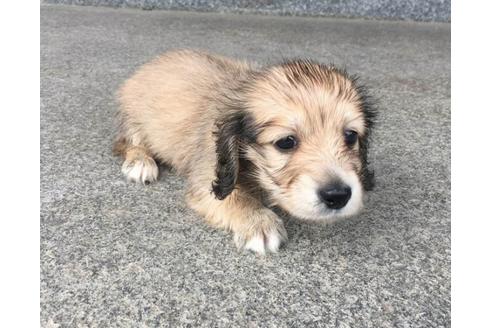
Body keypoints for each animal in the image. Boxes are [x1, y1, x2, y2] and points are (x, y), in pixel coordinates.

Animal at [113, 49, 374, 254]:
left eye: (350, 136)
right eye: (285, 142)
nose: (338, 196)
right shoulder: (208, 178)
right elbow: (234, 196)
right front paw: (258, 222)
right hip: (134, 118)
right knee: (128, 142)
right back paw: (140, 162)